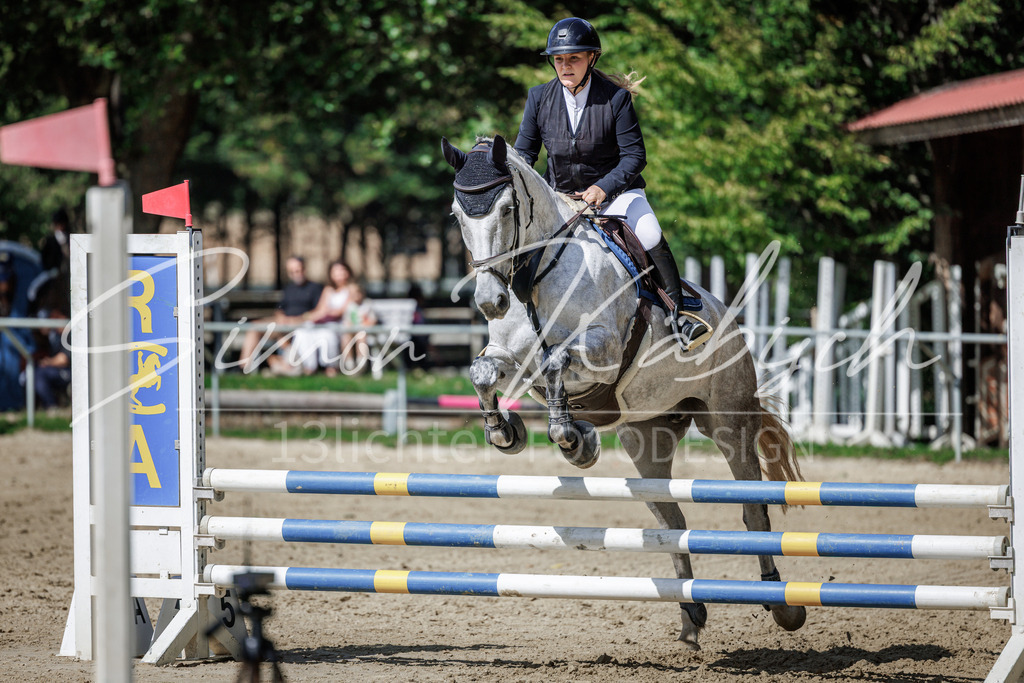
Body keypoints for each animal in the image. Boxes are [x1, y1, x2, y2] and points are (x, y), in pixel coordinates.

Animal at [441, 134, 806, 649]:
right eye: (458, 214)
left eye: (508, 209)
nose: (490, 301)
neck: (536, 274)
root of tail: (727, 318)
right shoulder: (510, 356)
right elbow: (482, 372)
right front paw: (506, 432)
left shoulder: (603, 350)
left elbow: (556, 363)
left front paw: (573, 440)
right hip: (646, 438)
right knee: (672, 523)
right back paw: (691, 616)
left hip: (728, 422)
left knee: (753, 512)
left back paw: (784, 608)